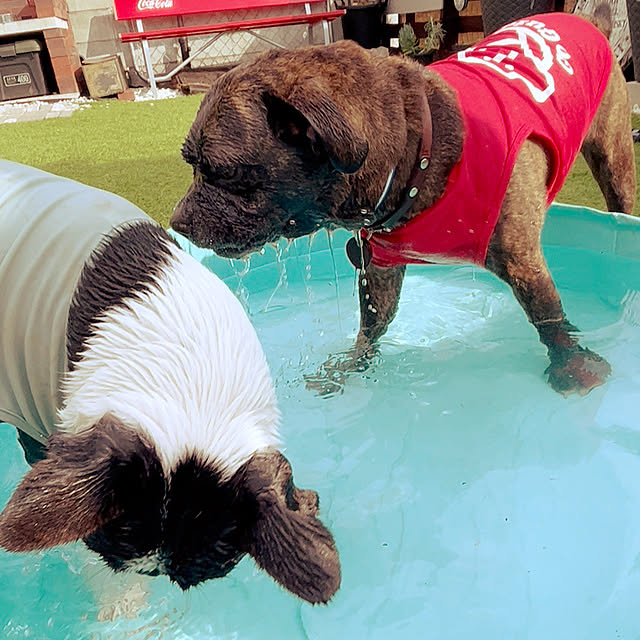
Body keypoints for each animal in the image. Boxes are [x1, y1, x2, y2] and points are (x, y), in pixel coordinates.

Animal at [171, 6, 635, 397]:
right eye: (190, 164)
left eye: (224, 172)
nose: (177, 223)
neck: (419, 148)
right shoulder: (379, 268)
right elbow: (371, 324)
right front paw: (351, 366)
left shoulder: (522, 260)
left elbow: (548, 315)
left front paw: (571, 364)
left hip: (614, 162)